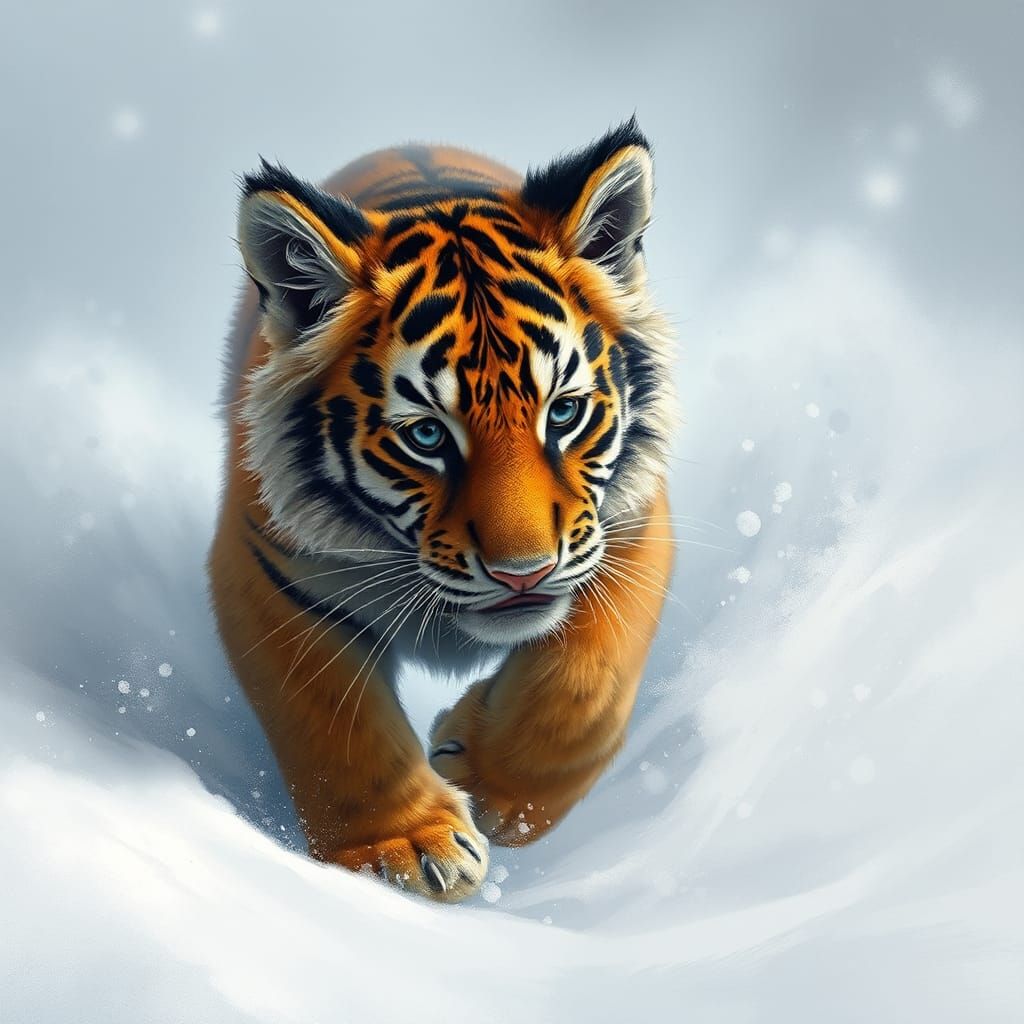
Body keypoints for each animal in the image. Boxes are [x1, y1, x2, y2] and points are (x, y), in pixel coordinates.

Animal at [208, 118, 676, 902]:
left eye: (564, 413)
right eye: (427, 435)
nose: (524, 573)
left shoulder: (628, 532)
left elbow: (587, 689)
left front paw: (492, 788)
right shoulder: (265, 567)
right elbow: (332, 720)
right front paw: (401, 849)